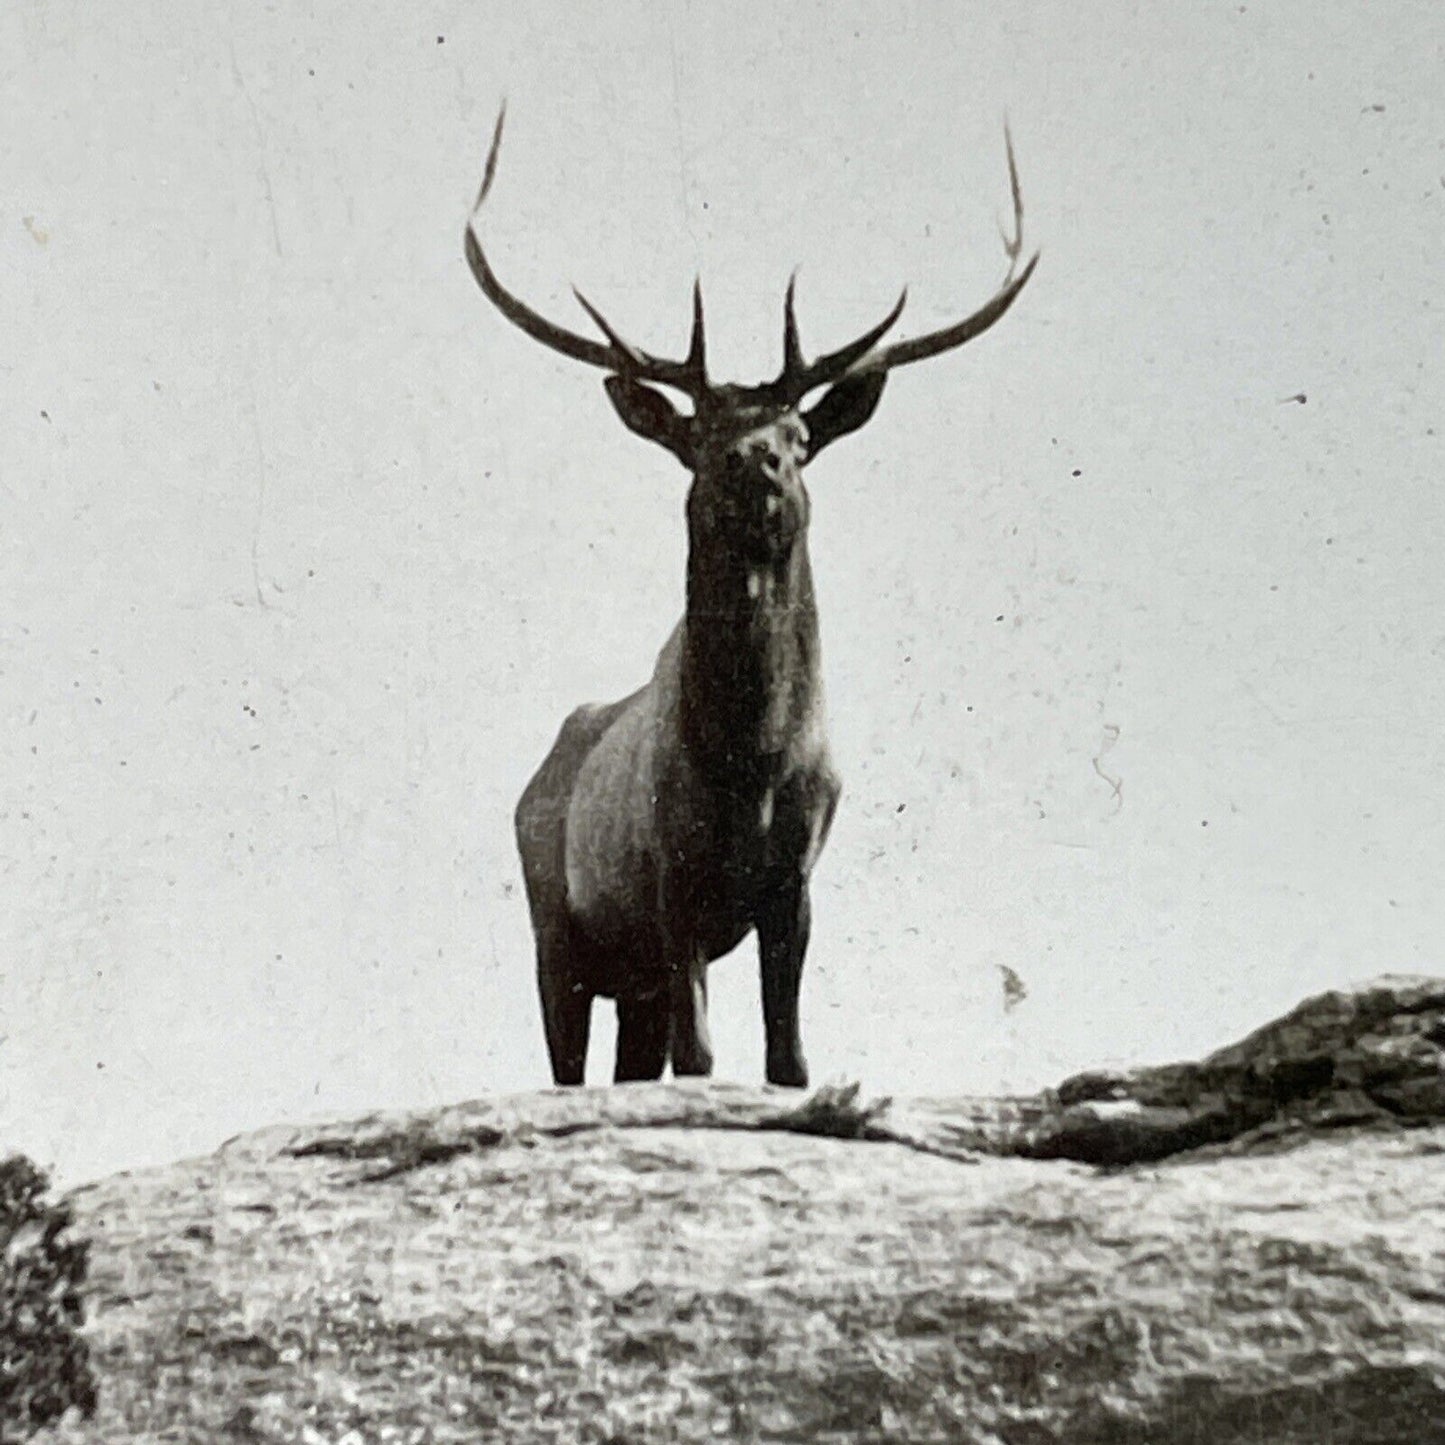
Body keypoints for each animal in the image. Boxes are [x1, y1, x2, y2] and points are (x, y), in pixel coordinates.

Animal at [473, 106, 1040, 1086]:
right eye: (697, 436)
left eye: (800, 433)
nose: (754, 459)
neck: (754, 760)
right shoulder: (669, 879)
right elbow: (702, 1056)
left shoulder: (795, 881)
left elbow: (789, 1058)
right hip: (557, 930)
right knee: (567, 1064)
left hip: (632, 976)